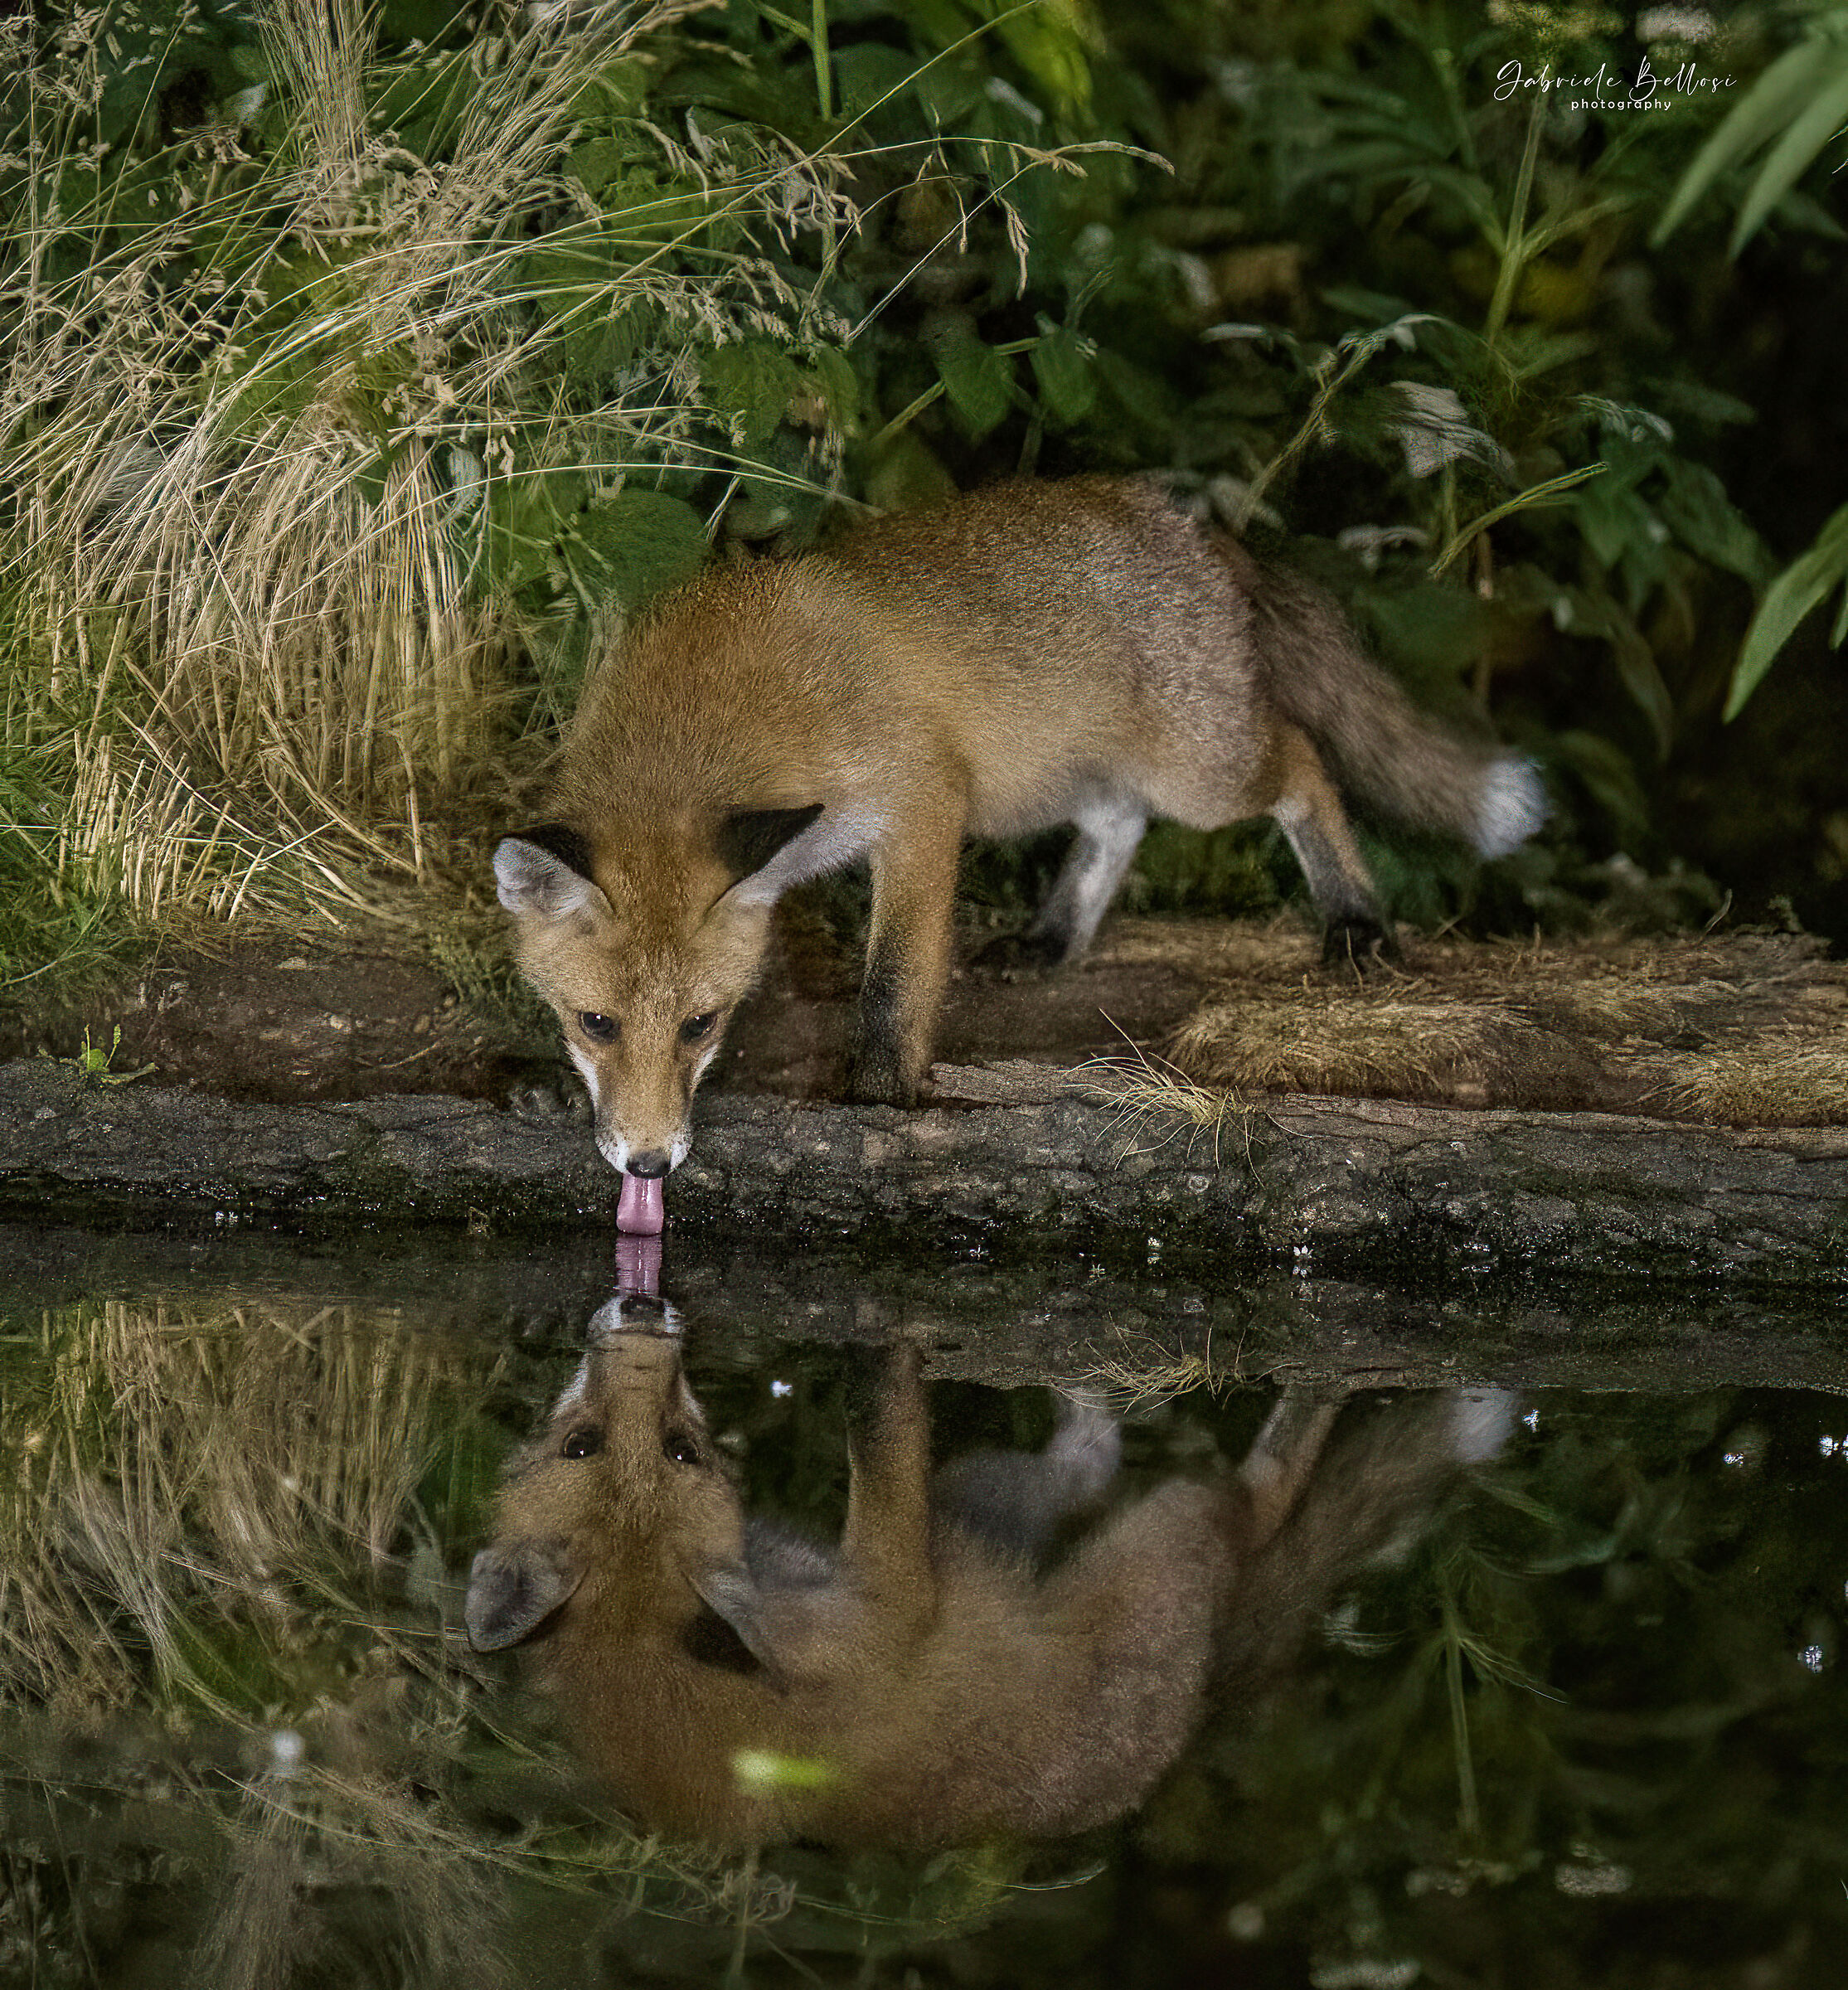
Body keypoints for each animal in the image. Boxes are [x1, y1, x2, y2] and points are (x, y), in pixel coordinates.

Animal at [464, 1295, 1515, 1851]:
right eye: (592, 1442)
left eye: (672, 1446)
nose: (639, 1313)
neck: (628, 1637)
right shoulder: (886, 1598)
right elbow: (881, 1432)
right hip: (1166, 1541)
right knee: (1245, 1496)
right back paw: (1310, 1390)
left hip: (983, 1503)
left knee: (1083, 1465)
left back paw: (1089, 1392)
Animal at [495, 476, 1545, 1229]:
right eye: (595, 1023)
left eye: (698, 1025)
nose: (648, 1163)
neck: (719, 717)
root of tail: (1195, 527)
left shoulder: (923, 799)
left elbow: (895, 980)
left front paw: (880, 1101)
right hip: (1051, 778)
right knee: (1118, 822)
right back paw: (1052, 938)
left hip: (1197, 775)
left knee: (1301, 763)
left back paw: (1354, 917)